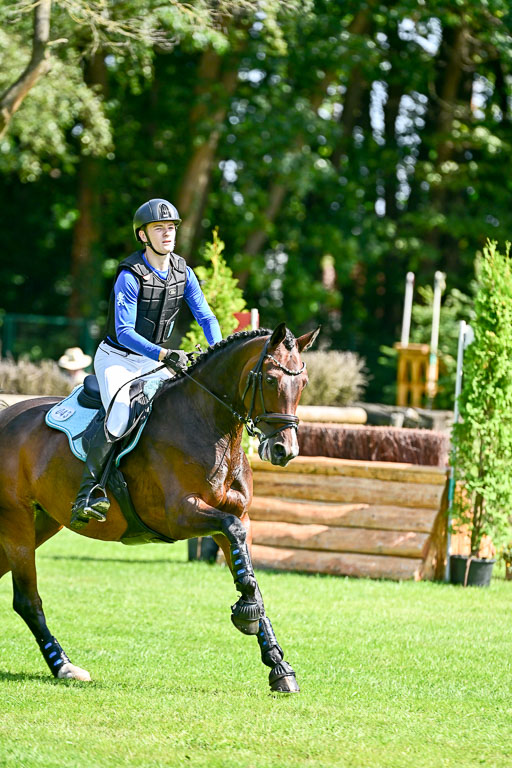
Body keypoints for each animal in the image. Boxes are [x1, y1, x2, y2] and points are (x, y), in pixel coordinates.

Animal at [0, 323, 318, 692]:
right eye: (269, 379)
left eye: (303, 383)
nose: (284, 450)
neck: (210, 426)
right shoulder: (179, 515)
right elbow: (234, 538)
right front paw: (246, 614)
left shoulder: (239, 517)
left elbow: (249, 573)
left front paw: (279, 666)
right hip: (17, 522)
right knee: (27, 600)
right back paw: (64, 666)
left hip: (45, 521)